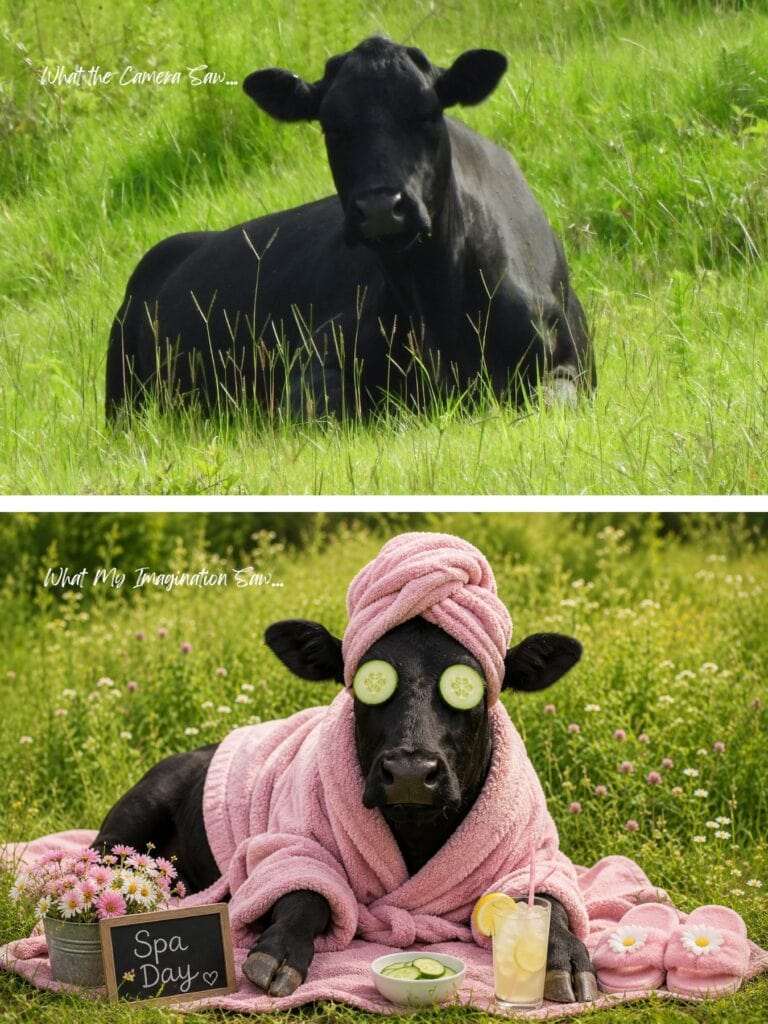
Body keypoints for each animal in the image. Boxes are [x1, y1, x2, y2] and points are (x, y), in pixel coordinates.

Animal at [93, 616, 598, 1004]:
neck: (416, 833)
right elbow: (305, 895)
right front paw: (277, 954)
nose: (410, 770)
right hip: (135, 812)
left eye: (467, 686)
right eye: (367, 682)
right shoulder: (289, 843)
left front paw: (567, 961)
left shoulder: (533, 854)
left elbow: (549, 902)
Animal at [105, 36, 594, 419]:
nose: (380, 208)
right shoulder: (314, 360)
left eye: (427, 113)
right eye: (330, 125)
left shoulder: (567, 366)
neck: (436, 310)